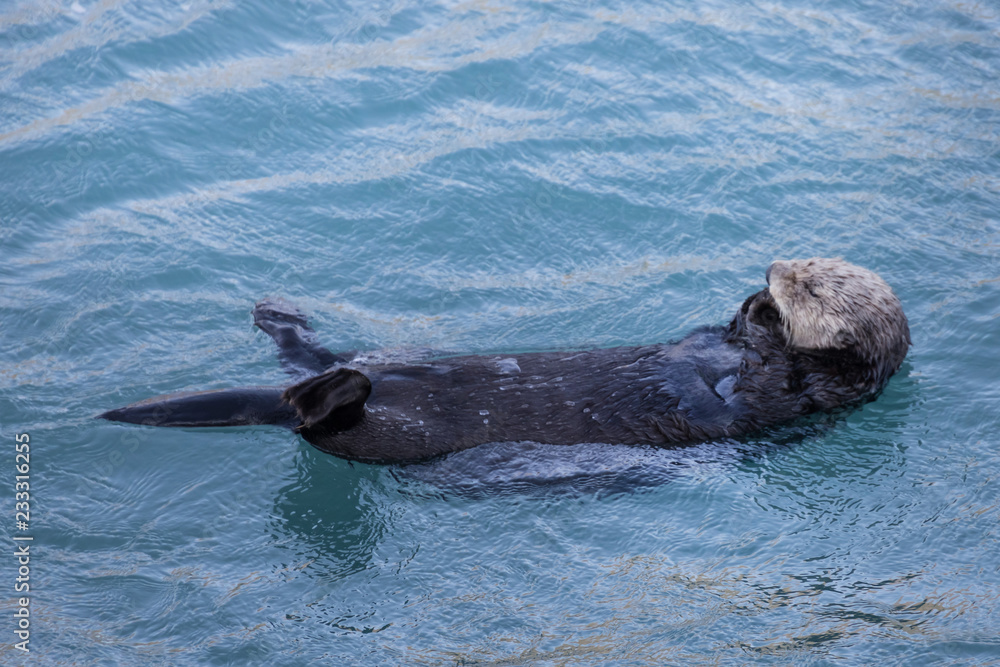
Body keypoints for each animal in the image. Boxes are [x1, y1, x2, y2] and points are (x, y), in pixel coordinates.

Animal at [99, 258, 910, 464]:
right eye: (800, 263)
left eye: (812, 285)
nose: (774, 269)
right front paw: (748, 305)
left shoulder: (793, 397)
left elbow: (760, 382)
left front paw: (767, 318)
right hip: (391, 355)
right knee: (311, 358)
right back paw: (279, 316)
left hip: (386, 437)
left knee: (320, 422)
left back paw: (329, 392)